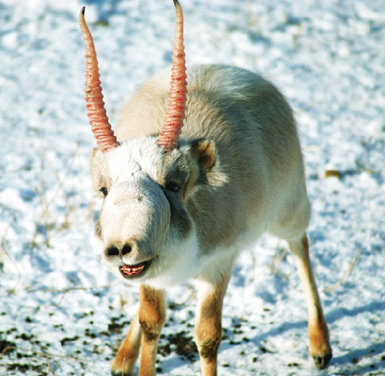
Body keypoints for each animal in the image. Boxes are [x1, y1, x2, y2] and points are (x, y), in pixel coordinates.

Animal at [78, 1, 330, 374]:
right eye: (104, 189)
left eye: (172, 183)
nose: (122, 247)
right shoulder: (148, 276)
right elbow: (151, 321)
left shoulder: (219, 265)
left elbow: (208, 336)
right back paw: (123, 358)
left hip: (289, 209)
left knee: (300, 245)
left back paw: (320, 346)